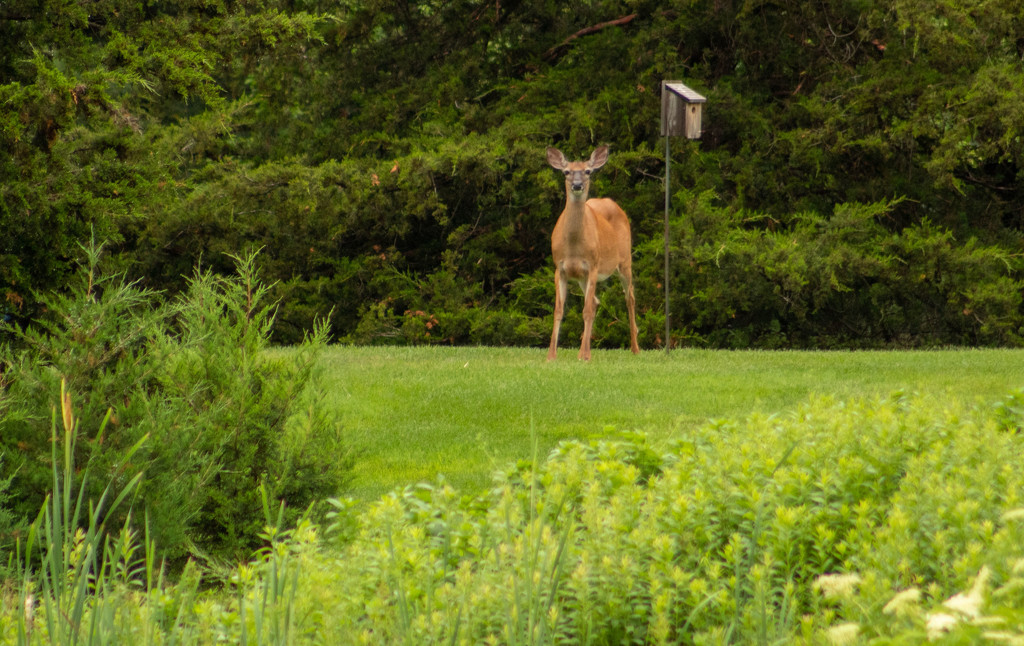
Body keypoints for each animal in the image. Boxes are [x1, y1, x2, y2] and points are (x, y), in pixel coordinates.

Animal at [544, 143, 638, 362]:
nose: (577, 185)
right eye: (566, 172)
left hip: (624, 260)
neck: (573, 247)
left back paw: (635, 348)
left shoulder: (593, 265)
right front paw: (551, 355)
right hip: (582, 277)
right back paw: (586, 349)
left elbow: (585, 311)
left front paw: (583, 356)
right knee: (596, 302)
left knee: (629, 297)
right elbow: (558, 311)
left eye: (588, 171)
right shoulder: (560, 268)